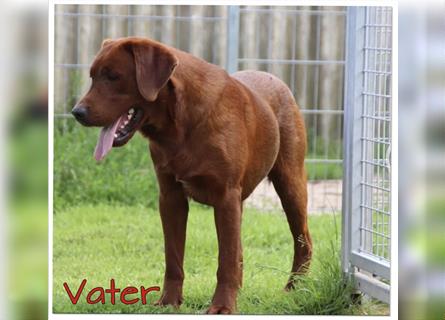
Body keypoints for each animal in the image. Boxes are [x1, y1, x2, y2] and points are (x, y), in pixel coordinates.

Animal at [71, 36, 310, 314]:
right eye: (92, 76)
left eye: (113, 76)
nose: (77, 113)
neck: (179, 125)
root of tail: (276, 80)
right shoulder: (170, 197)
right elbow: (173, 257)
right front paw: (169, 301)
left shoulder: (226, 196)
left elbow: (225, 260)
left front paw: (222, 306)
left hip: (290, 184)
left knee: (302, 240)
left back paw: (296, 288)